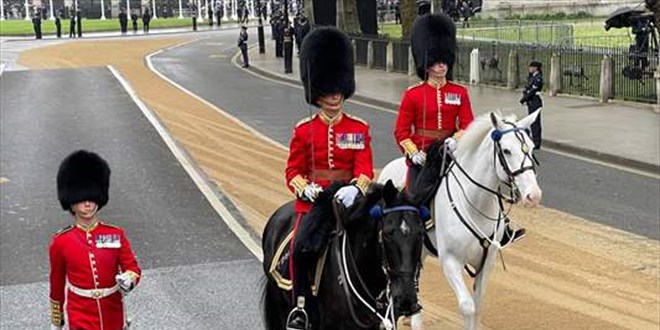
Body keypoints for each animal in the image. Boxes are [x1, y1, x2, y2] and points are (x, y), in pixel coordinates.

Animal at [378, 110, 544, 328]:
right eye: (506, 151)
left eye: (531, 148)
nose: (533, 195)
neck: (476, 204)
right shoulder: (451, 260)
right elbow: (467, 306)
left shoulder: (486, 262)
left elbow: (478, 306)